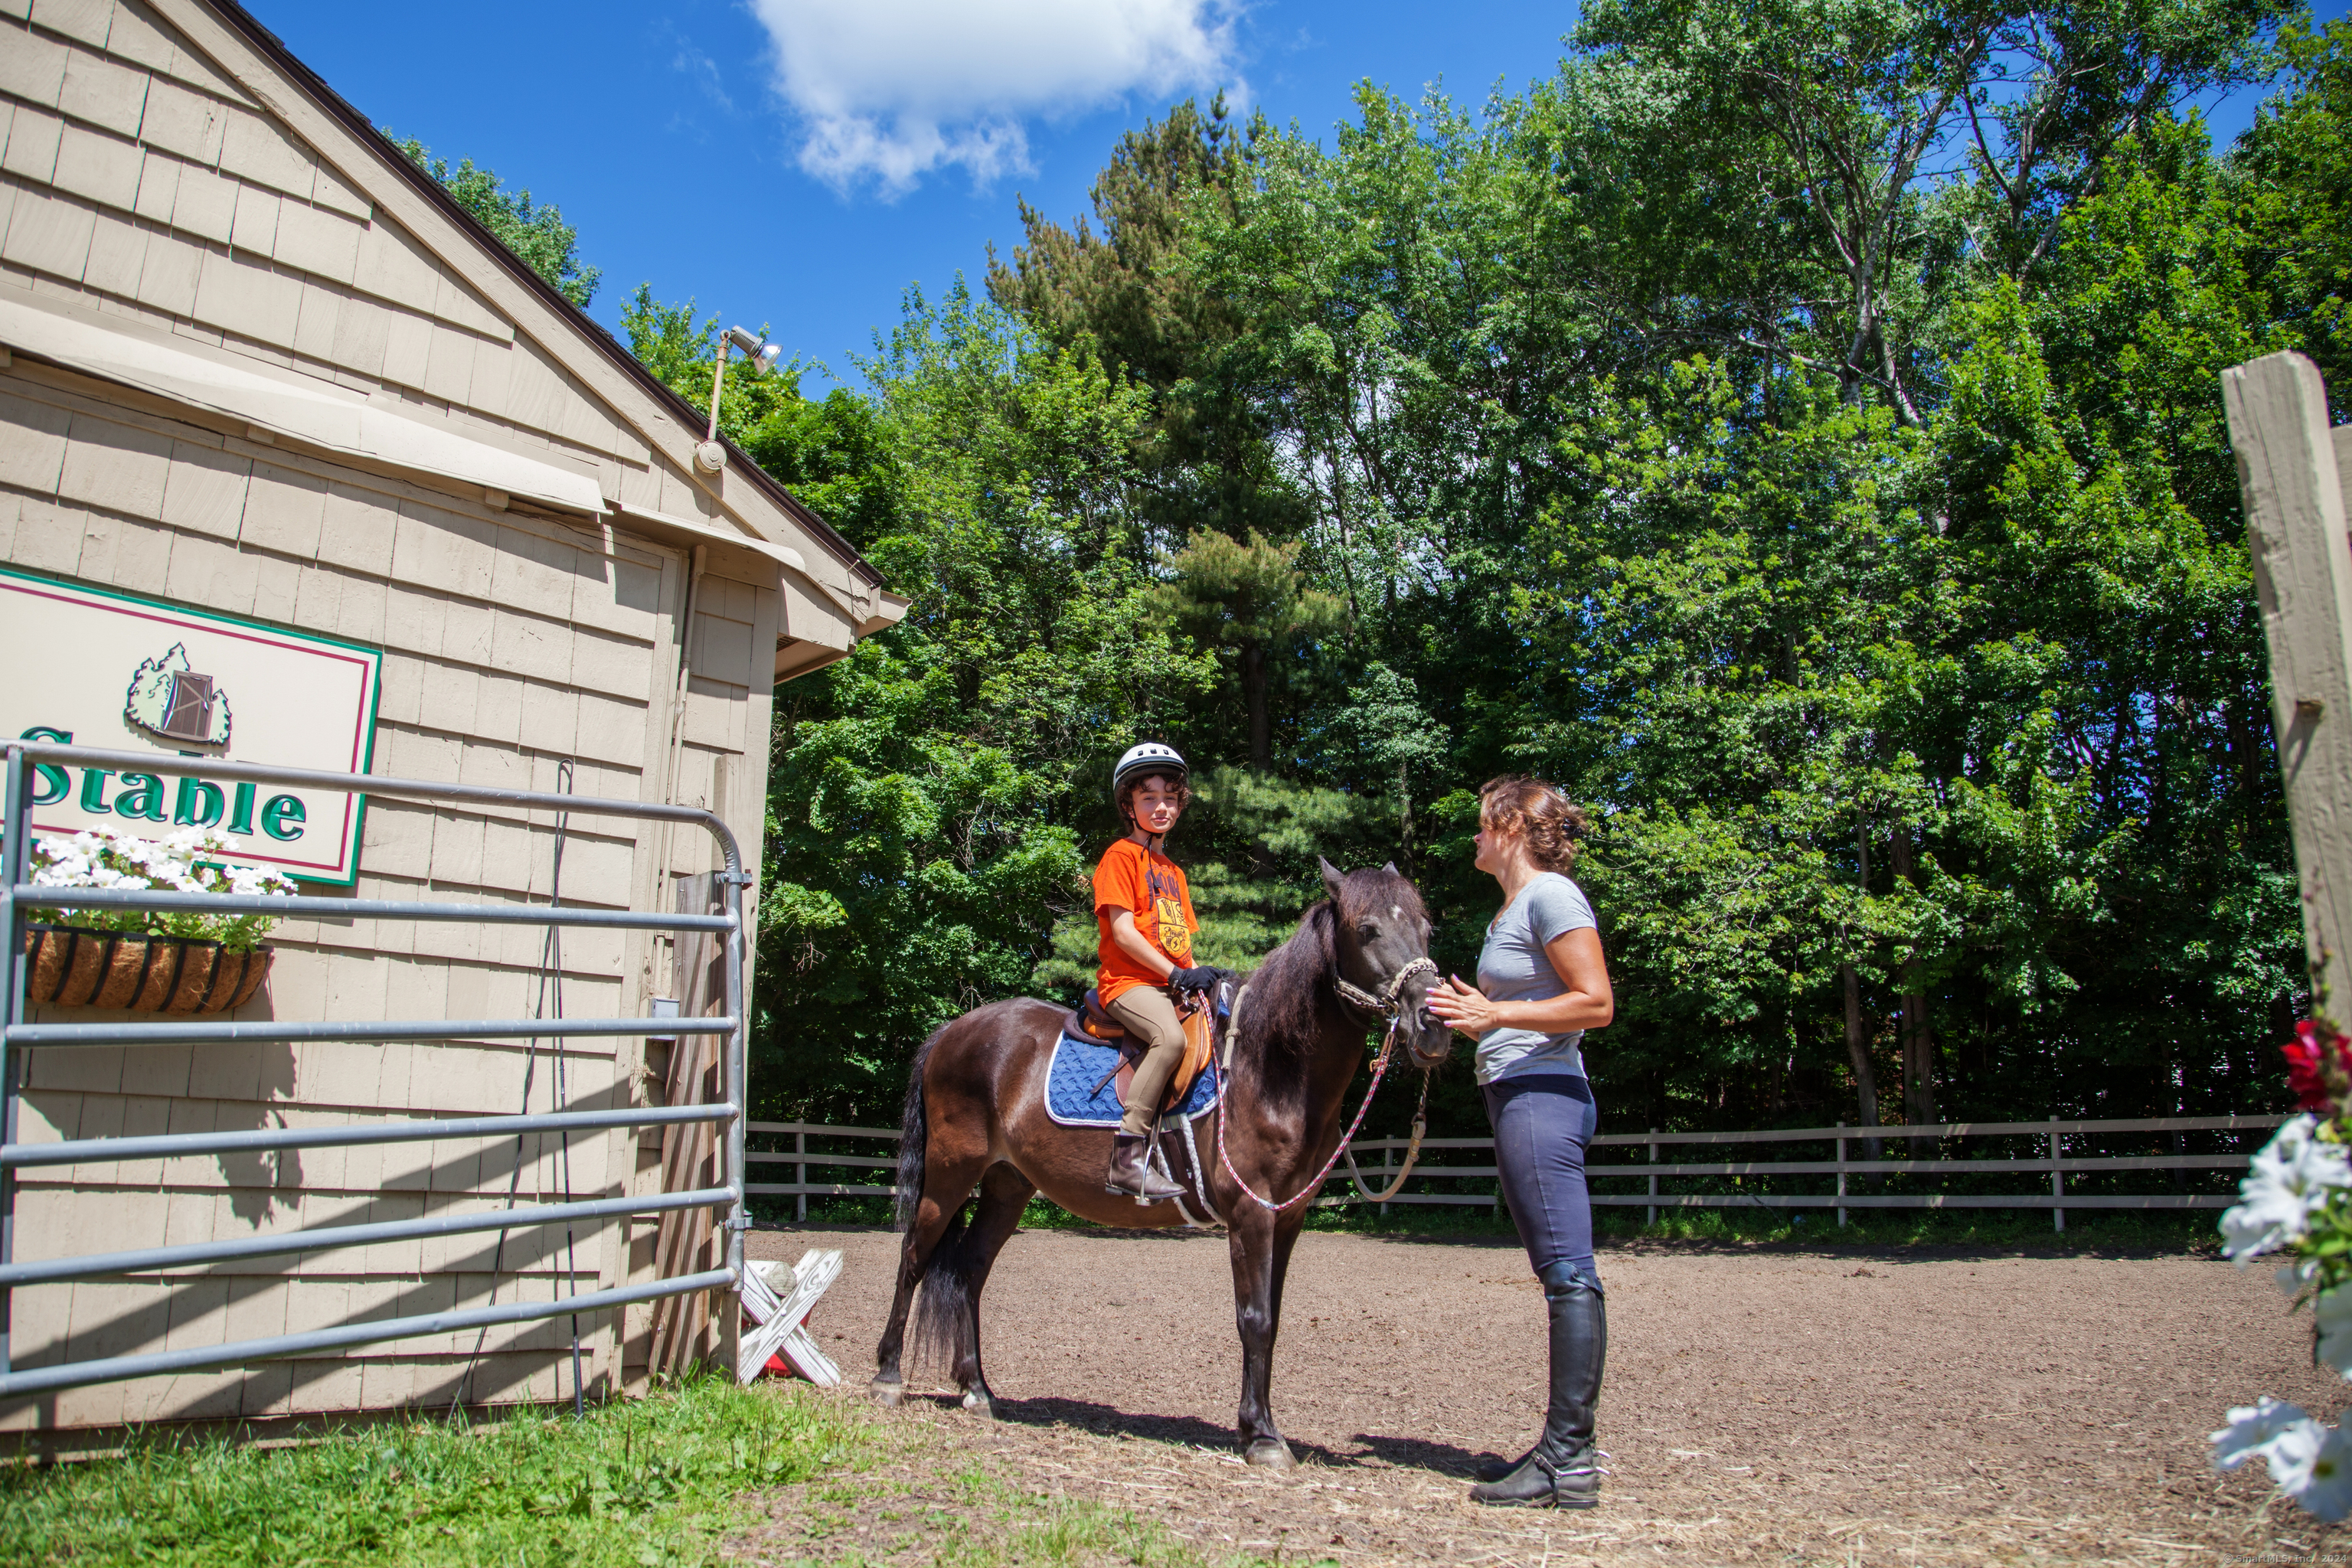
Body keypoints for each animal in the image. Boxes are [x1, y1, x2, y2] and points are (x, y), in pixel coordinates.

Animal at [874, 851, 1439, 1466]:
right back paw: (888, 1377)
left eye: (1426, 929)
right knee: (912, 1259)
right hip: (950, 1174)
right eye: (1367, 930)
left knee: (970, 1271)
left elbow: (1272, 1319)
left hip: (1007, 1185)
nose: (1432, 1025)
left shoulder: (1286, 1218)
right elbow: (1254, 1319)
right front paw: (1263, 1438)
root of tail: (953, 1031)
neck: (1268, 1067)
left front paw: (1258, 1428)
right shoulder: (1250, 1217)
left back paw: (977, 1389)